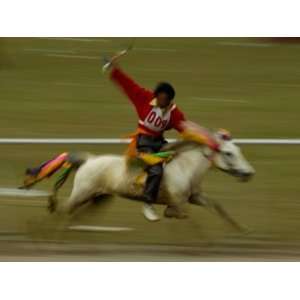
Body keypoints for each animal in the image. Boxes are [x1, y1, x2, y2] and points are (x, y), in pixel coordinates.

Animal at [47, 130, 255, 226]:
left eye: (238, 150)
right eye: (228, 153)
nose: (249, 173)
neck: (185, 167)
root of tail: (88, 159)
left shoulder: (194, 197)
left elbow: (217, 207)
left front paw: (241, 228)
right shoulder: (176, 204)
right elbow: (185, 217)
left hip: (100, 198)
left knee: (76, 214)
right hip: (82, 193)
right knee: (63, 209)